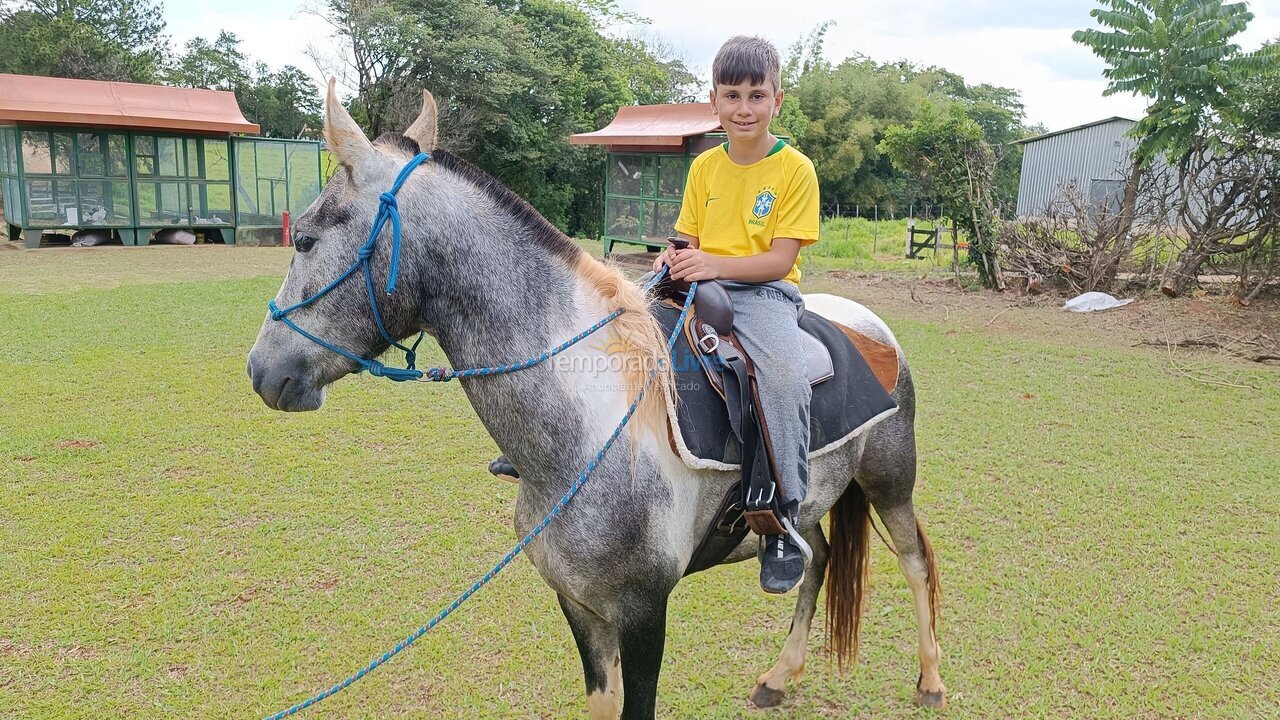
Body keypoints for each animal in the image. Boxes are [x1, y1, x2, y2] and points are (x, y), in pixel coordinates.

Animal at [249, 82, 947, 712]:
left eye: (305, 237)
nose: (260, 369)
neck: (587, 431)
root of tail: (872, 328)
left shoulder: (643, 613)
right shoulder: (580, 604)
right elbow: (601, 702)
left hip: (889, 482)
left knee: (915, 562)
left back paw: (931, 681)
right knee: (818, 560)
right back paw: (779, 677)